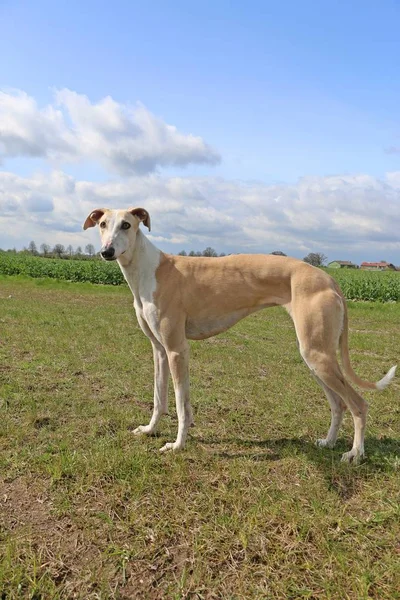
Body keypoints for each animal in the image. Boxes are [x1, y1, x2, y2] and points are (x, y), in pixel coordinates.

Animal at [83, 207, 396, 464]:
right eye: (102, 224)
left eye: (127, 224)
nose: (107, 252)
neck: (149, 271)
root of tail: (330, 279)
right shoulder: (159, 350)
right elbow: (161, 399)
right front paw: (149, 430)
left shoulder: (177, 349)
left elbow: (181, 405)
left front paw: (177, 445)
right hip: (315, 357)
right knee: (339, 403)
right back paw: (329, 442)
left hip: (318, 355)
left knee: (358, 403)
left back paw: (355, 453)